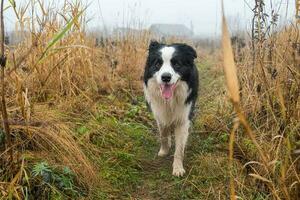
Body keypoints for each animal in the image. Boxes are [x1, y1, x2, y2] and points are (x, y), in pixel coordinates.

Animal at [144, 40, 199, 177]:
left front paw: (178, 168)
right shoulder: (160, 114)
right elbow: (163, 134)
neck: (170, 100)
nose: (166, 77)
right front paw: (164, 150)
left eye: (177, 64)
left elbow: (179, 148)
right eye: (158, 64)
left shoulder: (183, 118)